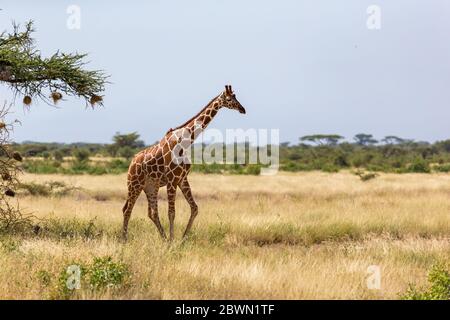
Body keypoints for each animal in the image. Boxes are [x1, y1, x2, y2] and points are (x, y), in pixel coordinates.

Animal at [121, 85, 244, 240]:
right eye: (229, 99)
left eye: (235, 96)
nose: (242, 109)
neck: (185, 142)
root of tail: (131, 163)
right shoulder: (172, 180)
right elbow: (171, 213)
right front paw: (173, 241)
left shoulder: (182, 179)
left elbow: (194, 208)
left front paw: (182, 239)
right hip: (134, 184)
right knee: (127, 209)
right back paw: (124, 239)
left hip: (150, 186)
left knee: (152, 213)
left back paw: (163, 238)